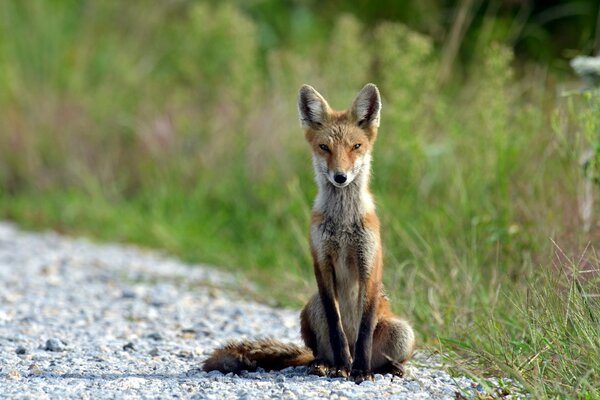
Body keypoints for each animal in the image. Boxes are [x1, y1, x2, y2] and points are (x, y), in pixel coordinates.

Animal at [204, 83, 414, 382]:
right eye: (324, 147)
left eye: (356, 146)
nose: (340, 177)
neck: (342, 224)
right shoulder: (322, 262)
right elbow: (336, 326)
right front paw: (342, 367)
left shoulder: (369, 264)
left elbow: (364, 330)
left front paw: (360, 372)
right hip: (310, 309)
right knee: (318, 352)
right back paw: (327, 365)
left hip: (403, 332)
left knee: (383, 358)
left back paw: (387, 368)